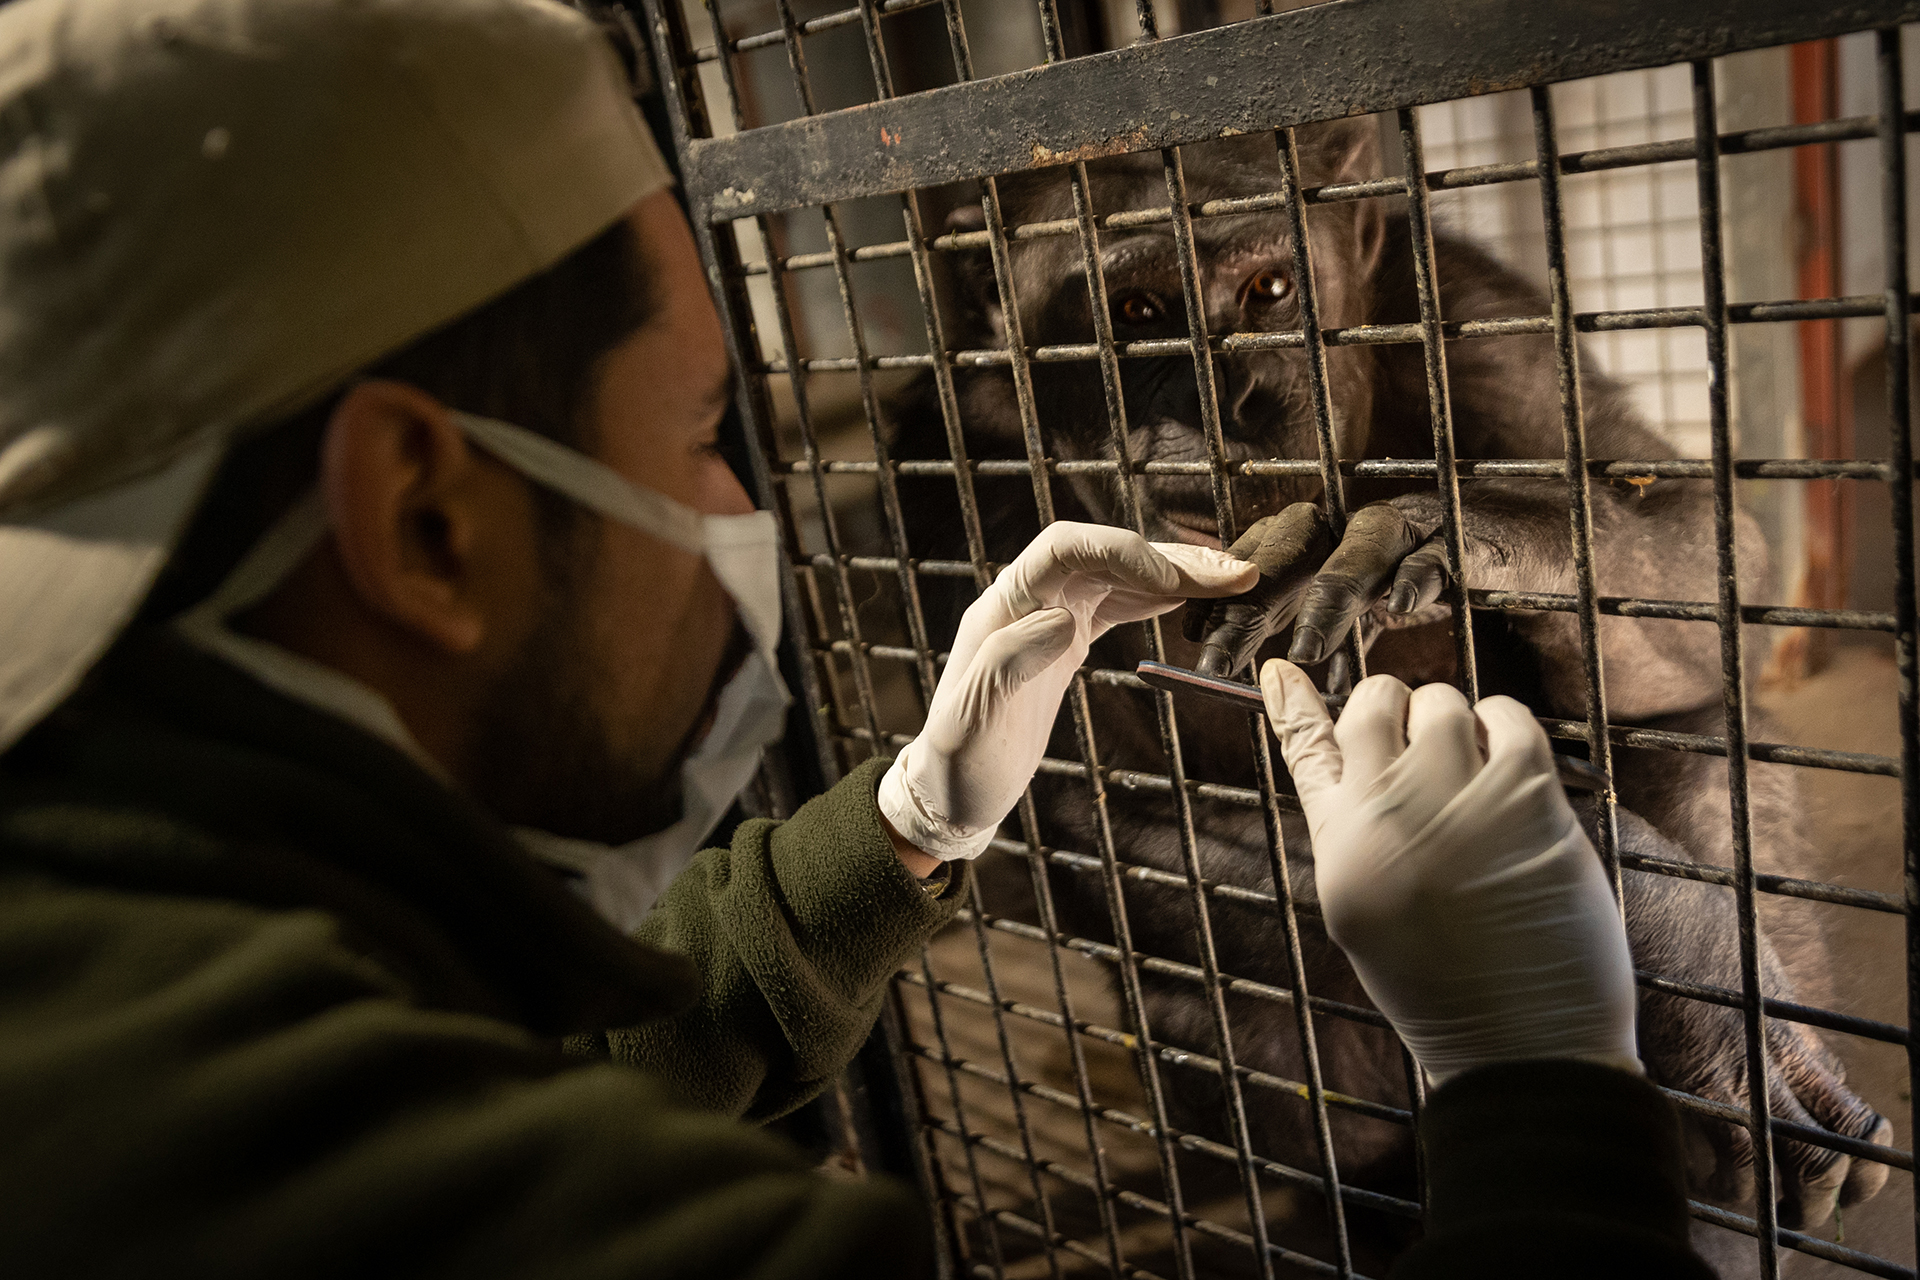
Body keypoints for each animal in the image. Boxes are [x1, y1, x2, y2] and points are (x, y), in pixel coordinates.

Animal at [890, 117, 1896, 1274]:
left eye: (1270, 288)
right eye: (1136, 310)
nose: (1227, 402)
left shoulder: (1477, 313)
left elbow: (1695, 528)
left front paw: (1443, 532)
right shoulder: (942, 473)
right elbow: (1106, 810)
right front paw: (1657, 928)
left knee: (1692, 738)